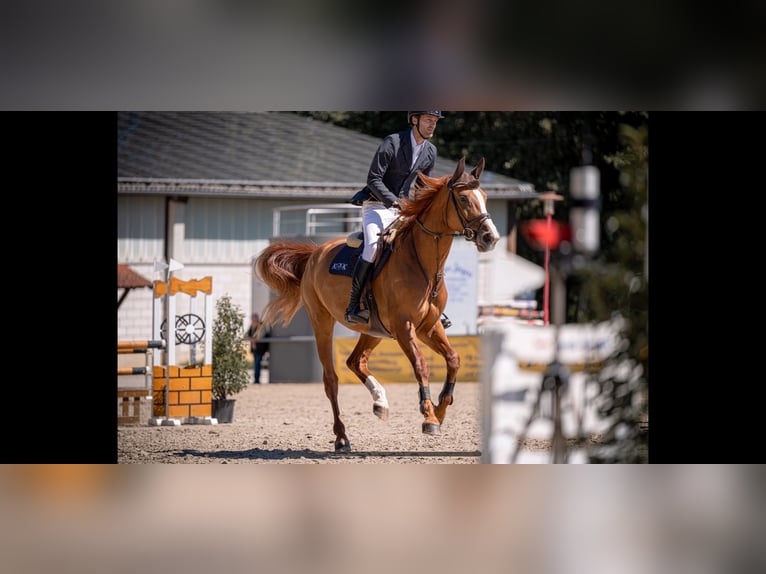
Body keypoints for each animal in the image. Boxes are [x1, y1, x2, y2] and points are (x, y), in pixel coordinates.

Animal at [254, 157, 500, 451]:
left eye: (485, 197)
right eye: (463, 198)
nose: (491, 237)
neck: (423, 265)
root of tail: (315, 253)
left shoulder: (428, 327)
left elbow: (453, 359)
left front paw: (440, 410)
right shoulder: (405, 327)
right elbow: (421, 365)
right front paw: (429, 415)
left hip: (373, 329)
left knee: (355, 361)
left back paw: (380, 402)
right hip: (322, 322)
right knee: (331, 379)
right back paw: (342, 436)